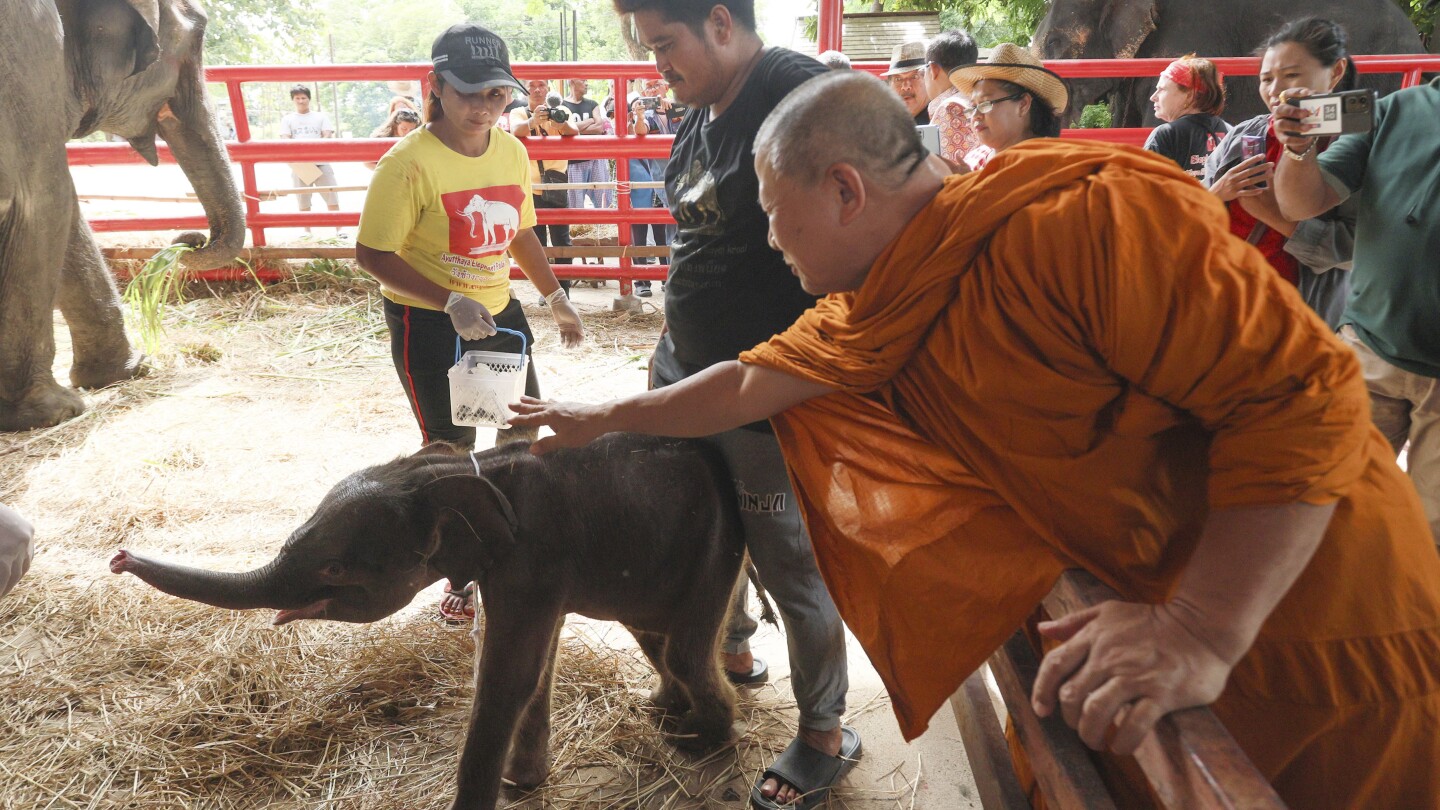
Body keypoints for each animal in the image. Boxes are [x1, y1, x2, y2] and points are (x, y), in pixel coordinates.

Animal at [110, 435, 743, 807]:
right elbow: (533, 667)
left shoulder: (532, 557)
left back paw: (698, 740)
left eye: (335, 568)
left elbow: (508, 677)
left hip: (714, 549)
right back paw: (665, 713)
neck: (447, 472)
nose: (118, 559)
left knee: (684, 647)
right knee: (655, 636)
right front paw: (522, 783)